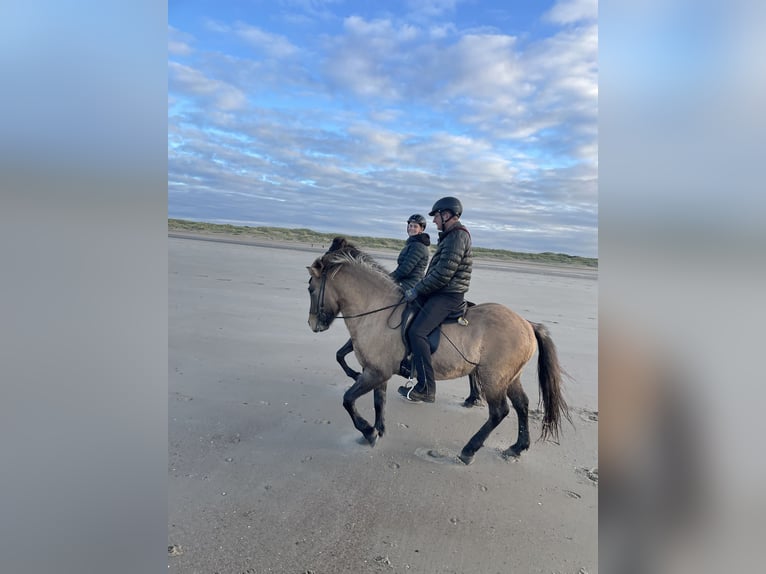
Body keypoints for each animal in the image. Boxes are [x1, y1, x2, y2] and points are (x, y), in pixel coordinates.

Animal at [306, 241, 568, 466]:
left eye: (310, 288)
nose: (312, 324)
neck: (378, 311)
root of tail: (527, 324)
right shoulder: (377, 372)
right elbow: (379, 402)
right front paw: (377, 430)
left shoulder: (375, 373)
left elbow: (348, 400)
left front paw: (368, 432)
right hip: (510, 378)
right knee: (521, 405)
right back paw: (516, 448)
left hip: (493, 378)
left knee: (499, 412)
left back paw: (469, 450)